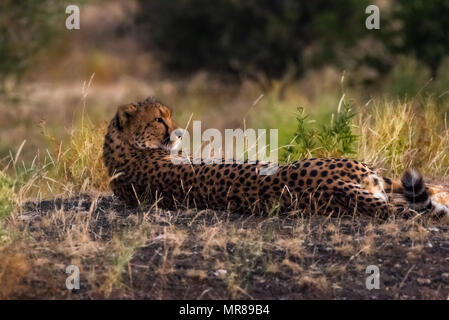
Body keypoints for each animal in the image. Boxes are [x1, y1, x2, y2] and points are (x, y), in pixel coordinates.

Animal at [103, 96, 448, 219]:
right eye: (158, 119)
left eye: (169, 116)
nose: (177, 133)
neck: (124, 151)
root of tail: (332, 187)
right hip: (358, 168)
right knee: (416, 192)